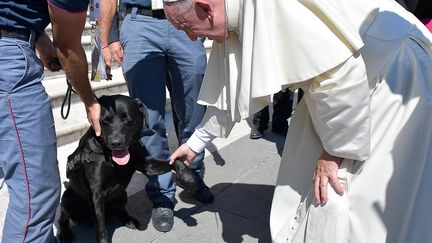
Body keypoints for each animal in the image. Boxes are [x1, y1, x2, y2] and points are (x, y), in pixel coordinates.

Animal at [57, 95, 197, 243]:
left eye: (128, 120)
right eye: (105, 121)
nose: (115, 143)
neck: (110, 157)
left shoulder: (148, 165)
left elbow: (176, 161)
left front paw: (189, 179)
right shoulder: (96, 195)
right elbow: (101, 229)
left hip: (122, 194)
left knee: (121, 210)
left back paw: (129, 220)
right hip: (66, 199)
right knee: (62, 218)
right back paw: (65, 233)